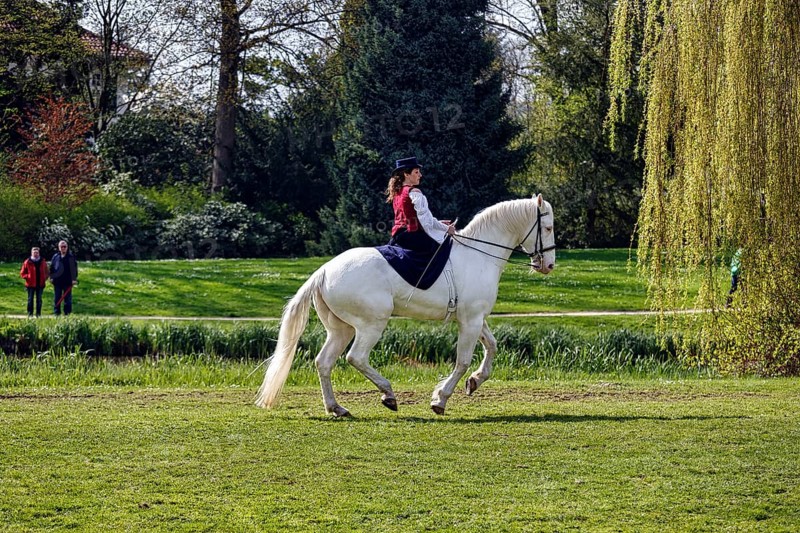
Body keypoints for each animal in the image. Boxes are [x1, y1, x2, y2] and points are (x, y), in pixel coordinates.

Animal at [255, 193, 556, 416]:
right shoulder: (470, 320)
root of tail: (324, 271)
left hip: (341, 328)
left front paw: (475, 381)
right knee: (356, 357)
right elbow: (462, 361)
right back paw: (388, 395)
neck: (479, 255)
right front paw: (440, 400)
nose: (549, 266)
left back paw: (337, 408)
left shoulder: (475, 317)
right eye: (548, 227)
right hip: (371, 324)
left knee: (324, 362)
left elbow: (491, 347)